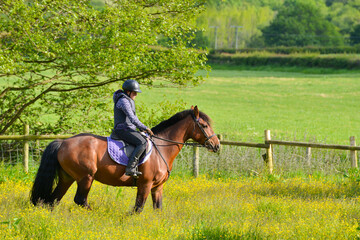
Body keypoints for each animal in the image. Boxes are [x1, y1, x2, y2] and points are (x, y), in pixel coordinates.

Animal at [30, 106, 219, 213]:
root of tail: (62, 142)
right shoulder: (145, 184)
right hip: (86, 178)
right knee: (80, 200)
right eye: (204, 125)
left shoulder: (157, 188)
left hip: (67, 178)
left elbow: (158, 209)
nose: (216, 145)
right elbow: (138, 208)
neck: (162, 147)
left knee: (53, 200)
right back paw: (99, 214)